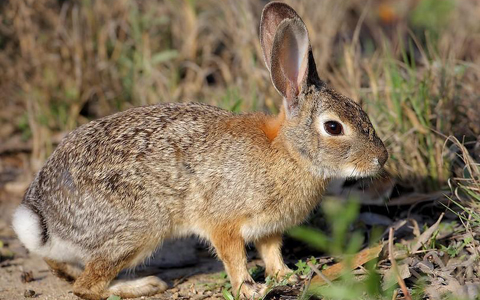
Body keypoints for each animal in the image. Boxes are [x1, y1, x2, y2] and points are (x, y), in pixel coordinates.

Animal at [11, 1, 388, 298]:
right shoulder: (223, 221)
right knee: (87, 286)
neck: (288, 152)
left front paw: (284, 275)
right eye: (334, 127)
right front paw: (250, 289)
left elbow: (271, 251)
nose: (380, 158)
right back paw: (143, 285)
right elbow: (234, 257)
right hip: (139, 228)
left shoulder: (268, 229)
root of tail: (44, 218)